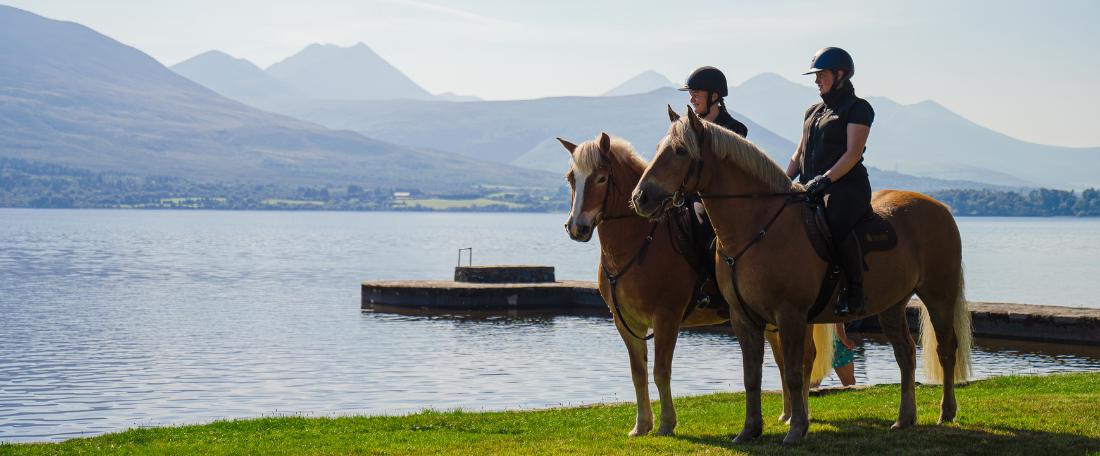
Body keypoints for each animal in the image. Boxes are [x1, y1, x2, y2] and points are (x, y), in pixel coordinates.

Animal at [561, 132, 835, 437]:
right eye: (571, 178)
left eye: (600, 178)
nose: (577, 228)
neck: (638, 241)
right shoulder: (626, 322)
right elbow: (638, 373)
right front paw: (642, 425)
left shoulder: (666, 316)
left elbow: (660, 371)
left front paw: (666, 423)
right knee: (781, 358)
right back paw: (787, 414)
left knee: (805, 358)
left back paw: (801, 415)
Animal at [630, 106, 973, 444]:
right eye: (659, 148)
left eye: (679, 151)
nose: (640, 198)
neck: (756, 228)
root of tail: (941, 207)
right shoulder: (744, 318)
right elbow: (751, 375)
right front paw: (750, 430)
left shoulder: (790, 314)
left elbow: (794, 373)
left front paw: (796, 429)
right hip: (892, 306)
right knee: (905, 354)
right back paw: (905, 418)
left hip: (938, 297)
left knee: (946, 350)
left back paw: (946, 412)